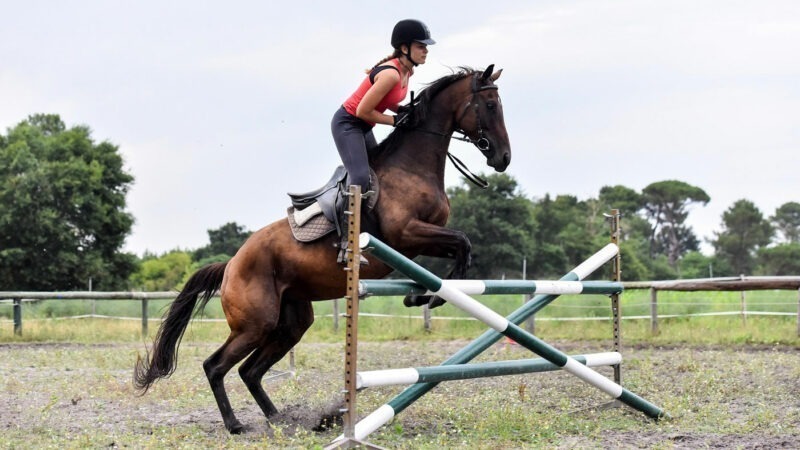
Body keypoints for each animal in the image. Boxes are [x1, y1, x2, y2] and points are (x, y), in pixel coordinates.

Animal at [135, 65, 512, 434]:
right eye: (491, 105)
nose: (503, 158)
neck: (412, 167)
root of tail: (230, 264)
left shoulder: (420, 239)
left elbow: (456, 252)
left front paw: (421, 295)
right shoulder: (407, 234)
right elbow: (461, 244)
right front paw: (429, 298)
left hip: (291, 322)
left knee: (250, 371)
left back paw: (279, 419)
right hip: (256, 324)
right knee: (215, 366)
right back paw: (235, 424)